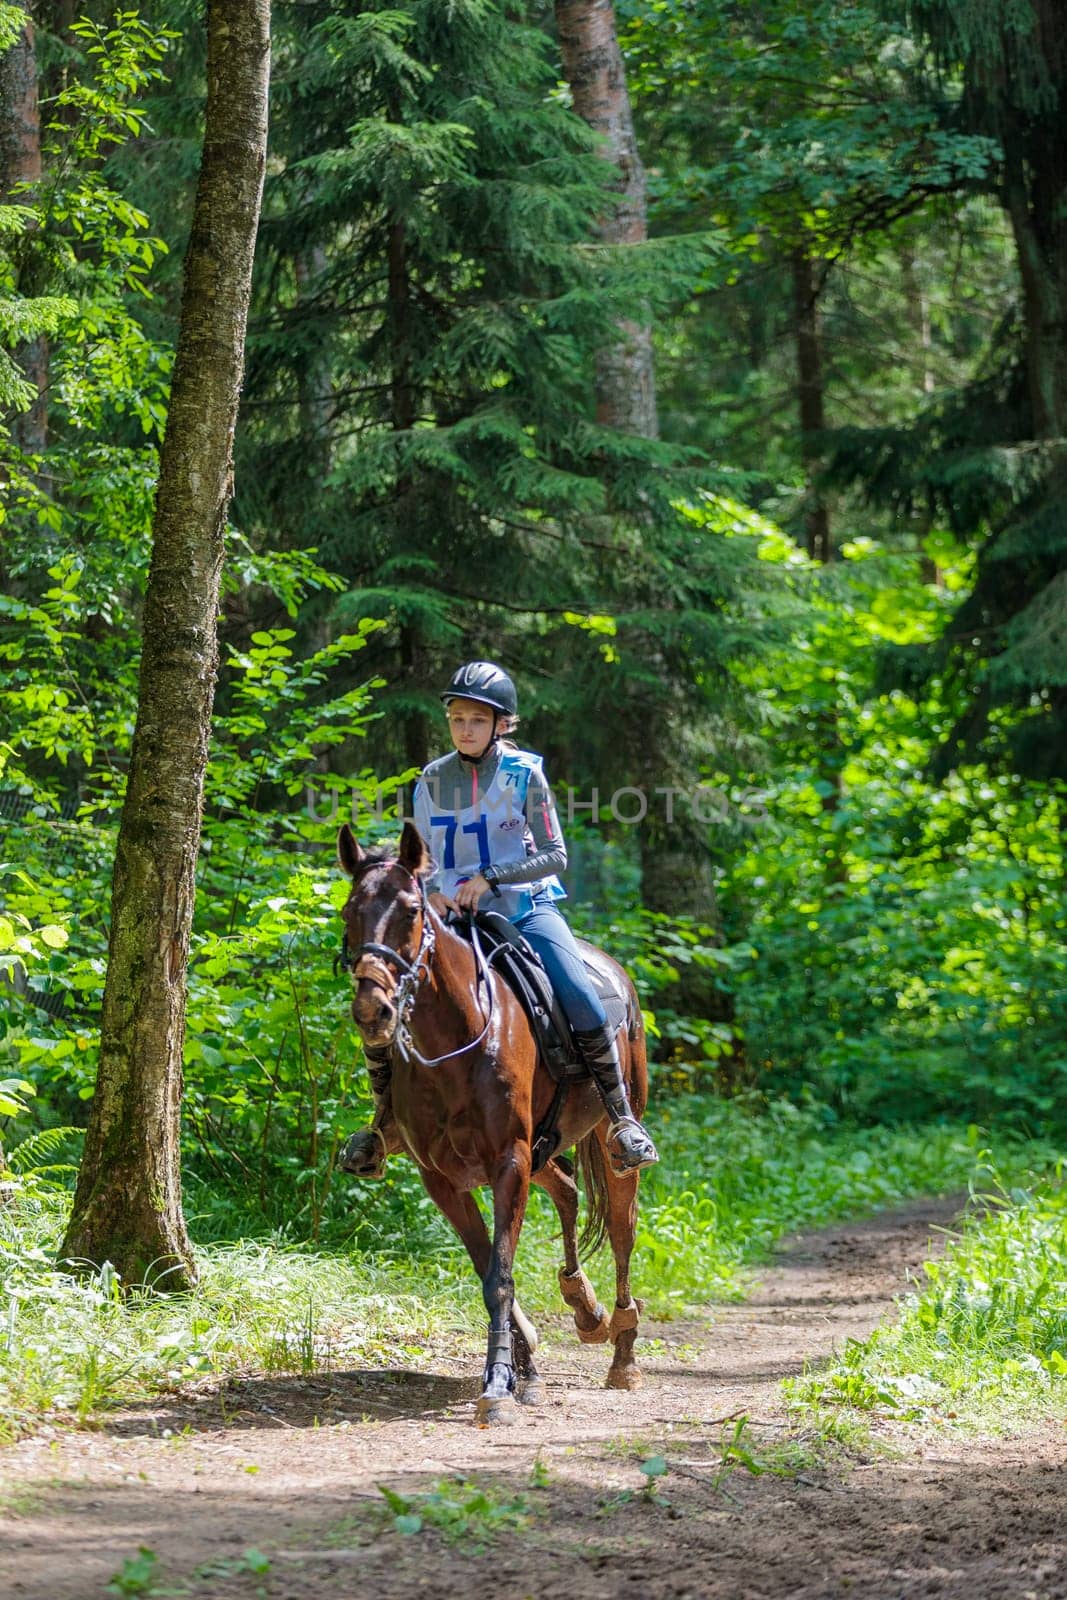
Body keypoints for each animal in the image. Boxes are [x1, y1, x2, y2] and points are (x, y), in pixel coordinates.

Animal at [337, 825, 646, 1427]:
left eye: (412, 911)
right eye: (348, 911)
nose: (372, 1011)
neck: (454, 1041)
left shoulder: (508, 1161)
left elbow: (500, 1275)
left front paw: (500, 1386)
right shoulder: (445, 1178)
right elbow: (487, 1269)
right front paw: (522, 1370)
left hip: (608, 1136)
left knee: (622, 1228)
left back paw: (622, 1352)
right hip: (544, 1150)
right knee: (568, 1190)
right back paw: (583, 1306)